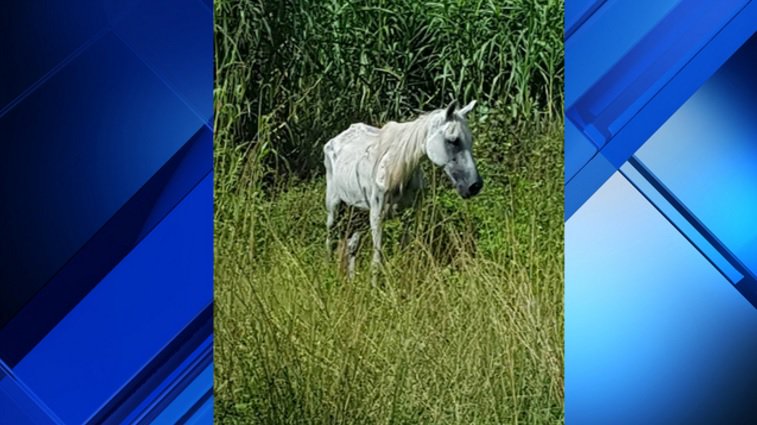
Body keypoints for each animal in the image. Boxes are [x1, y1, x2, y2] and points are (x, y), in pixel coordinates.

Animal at [323, 100, 483, 279]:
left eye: (470, 140)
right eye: (453, 140)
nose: (475, 186)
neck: (398, 171)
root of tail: (336, 139)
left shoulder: (412, 214)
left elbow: (408, 251)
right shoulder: (377, 215)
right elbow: (376, 261)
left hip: (359, 211)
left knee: (352, 246)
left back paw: (351, 280)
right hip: (334, 206)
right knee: (330, 239)